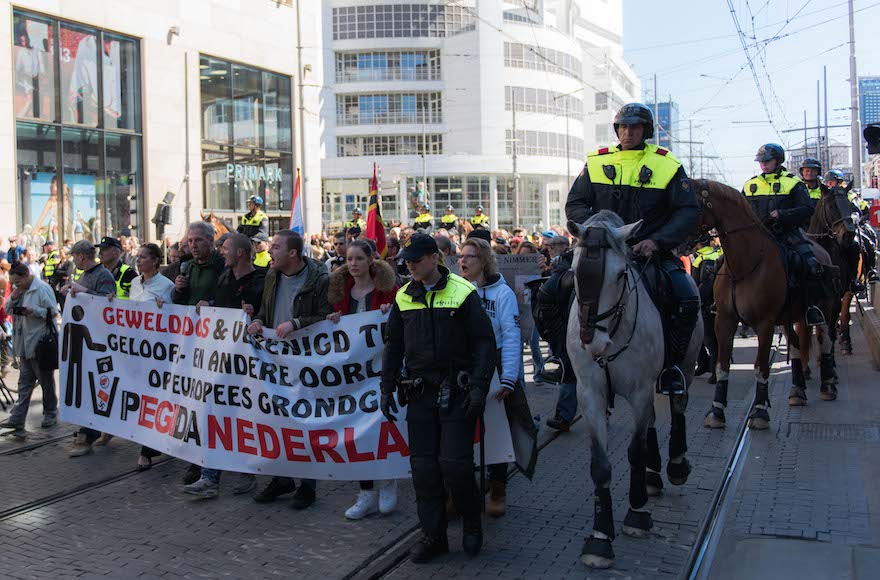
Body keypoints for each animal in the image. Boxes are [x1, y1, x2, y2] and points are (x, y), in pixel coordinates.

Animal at [568, 211, 704, 568]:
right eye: (574, 271)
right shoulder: (591, 396)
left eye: (619, 274)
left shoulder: (641, 391)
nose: (594, 343)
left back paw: (675, 466)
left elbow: (634, 451)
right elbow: (601, 464)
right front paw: (600, 537)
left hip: (685, 365)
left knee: (678, 409)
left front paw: (637, 513)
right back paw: (654, 476)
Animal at [696, 180, 840, 430]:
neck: (744, 265)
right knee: (795, 346)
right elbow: (722, 366)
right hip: (788, 318)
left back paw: (828, 385)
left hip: (822, 310)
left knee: (825, 342)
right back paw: (797, 390)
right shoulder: (724, 321)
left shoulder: (764, 324)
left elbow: (761, 367)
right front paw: (716, 411)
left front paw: (760, 412)